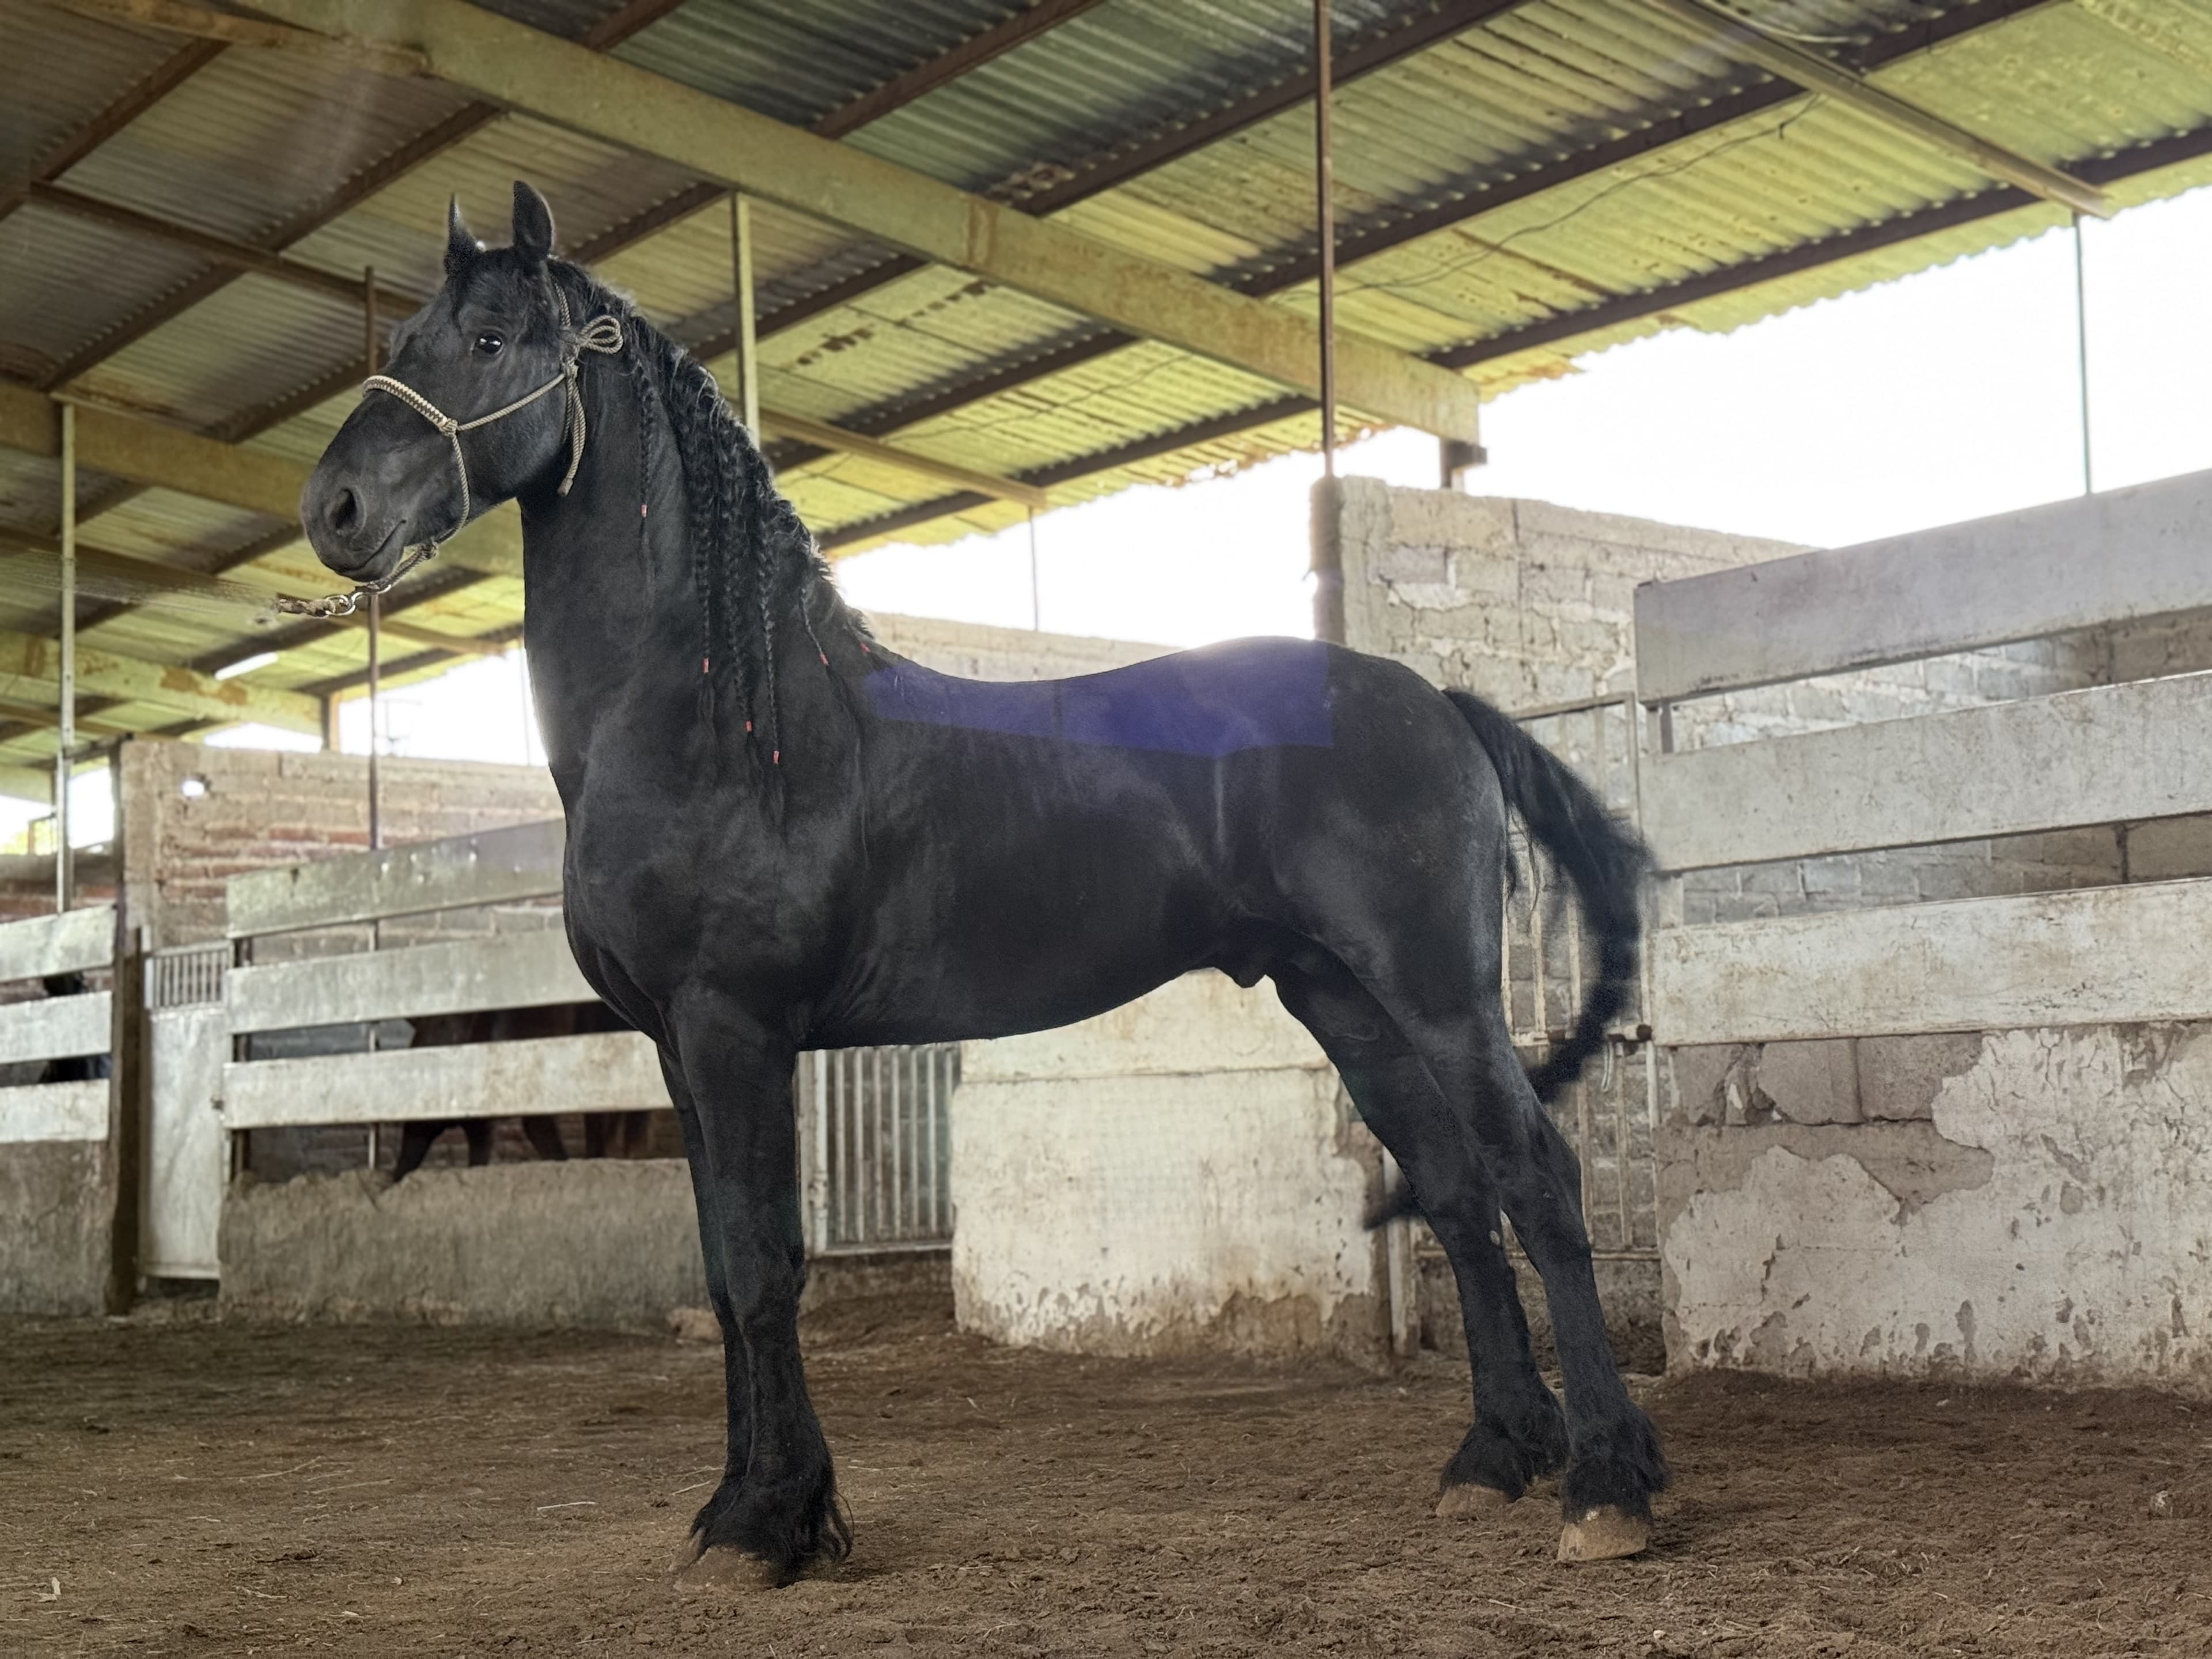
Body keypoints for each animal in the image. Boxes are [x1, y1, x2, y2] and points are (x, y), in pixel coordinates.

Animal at [297, 181, 1665, 1585]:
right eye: (406, 336)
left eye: (491, 340)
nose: (334, 509)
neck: (724, 724)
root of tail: (1435, 702)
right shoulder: (679, 1049)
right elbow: (724, 1274)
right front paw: (746, 1508)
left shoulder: (738, 1032)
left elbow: (764, 1264)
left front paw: (769, 1523)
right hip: (1342, 998)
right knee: (1455, 1190)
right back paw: (1493, 1461)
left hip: (1439, 996)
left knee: (1535, 1179)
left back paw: (1606, 1488)